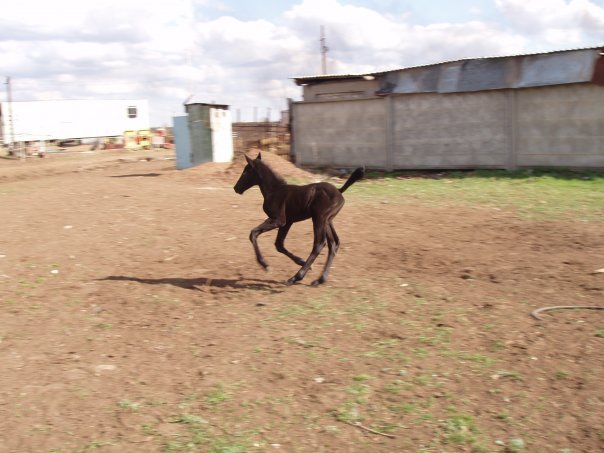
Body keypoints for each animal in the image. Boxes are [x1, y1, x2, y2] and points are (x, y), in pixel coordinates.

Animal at [232, 154, 364, 284]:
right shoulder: (286, 222)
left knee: (319, 244)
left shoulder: (279, 220)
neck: (274, 190)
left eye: (245, 172)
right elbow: (279, 245)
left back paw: (296, 277)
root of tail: (339, 191)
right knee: (334, 243)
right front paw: (300, 261)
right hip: (327, 221)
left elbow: (253, 233)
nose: (236, 188)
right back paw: (320, 279)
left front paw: (265, 265)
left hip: (319, 218)